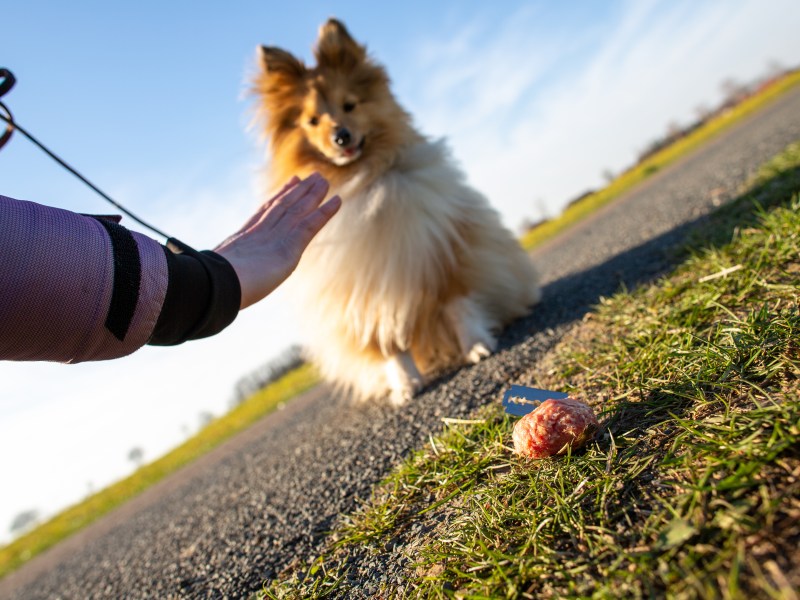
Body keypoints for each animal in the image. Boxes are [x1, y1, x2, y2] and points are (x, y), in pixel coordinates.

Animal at [253, 18, 540, 404]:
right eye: (312, 121)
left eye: (350, 105)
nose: (341, 137)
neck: (365, 177)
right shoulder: (363, 290)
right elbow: (384, 342)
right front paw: (405, 385)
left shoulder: (442, 251)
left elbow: (458, 304)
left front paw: (476, 346)